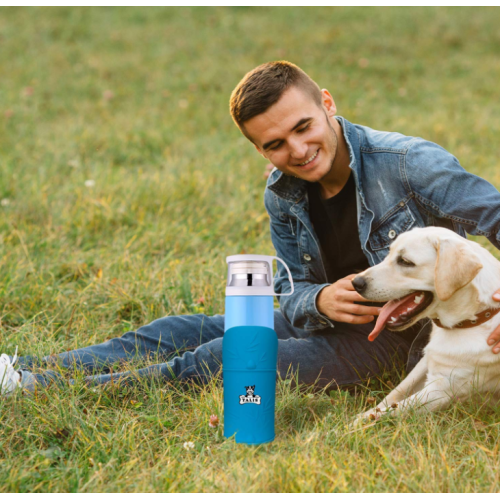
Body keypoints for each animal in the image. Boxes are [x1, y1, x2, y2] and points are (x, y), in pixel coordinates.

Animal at [350, 227, 500, 426]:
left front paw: (350, 426)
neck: (471, 319)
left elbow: (394, 410)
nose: (355, 283)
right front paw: (360, 415)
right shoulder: (425, 362)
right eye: (388, 253)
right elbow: (394, 395)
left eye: (405, 262)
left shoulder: (440, 391)